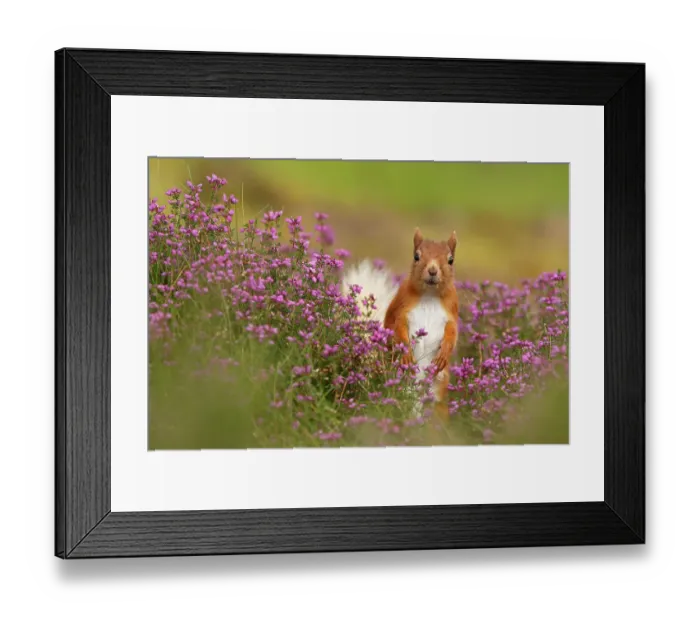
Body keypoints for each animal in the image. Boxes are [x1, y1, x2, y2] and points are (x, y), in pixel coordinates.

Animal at [343, 228, 459, 421]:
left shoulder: (452, 311)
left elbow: (452, 333)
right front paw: (406, 354)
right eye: (416, 256)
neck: (430, 295)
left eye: (451, 260)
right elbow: (397, 329)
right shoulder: (402, 308)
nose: (432, 270)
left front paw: (444, 354)